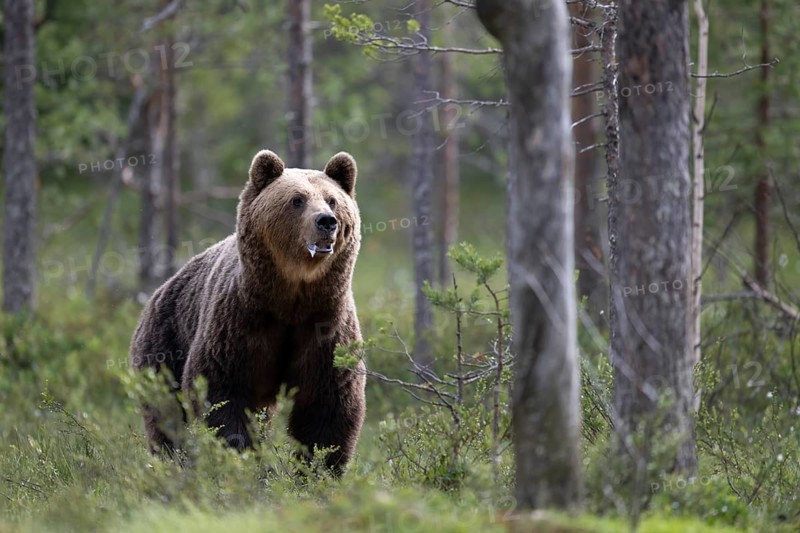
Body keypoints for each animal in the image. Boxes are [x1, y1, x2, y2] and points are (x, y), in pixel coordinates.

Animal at [129, 149, 366, 475]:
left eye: (332, 200)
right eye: (297, 199)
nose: (326, 222)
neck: (291, 298)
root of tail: (159, 290)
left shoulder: (325, 325)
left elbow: (327, 405)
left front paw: (318, 469)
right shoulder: (240, 322)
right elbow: (222, 391)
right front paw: (235, 458)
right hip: (165, 344)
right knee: (166, 415)